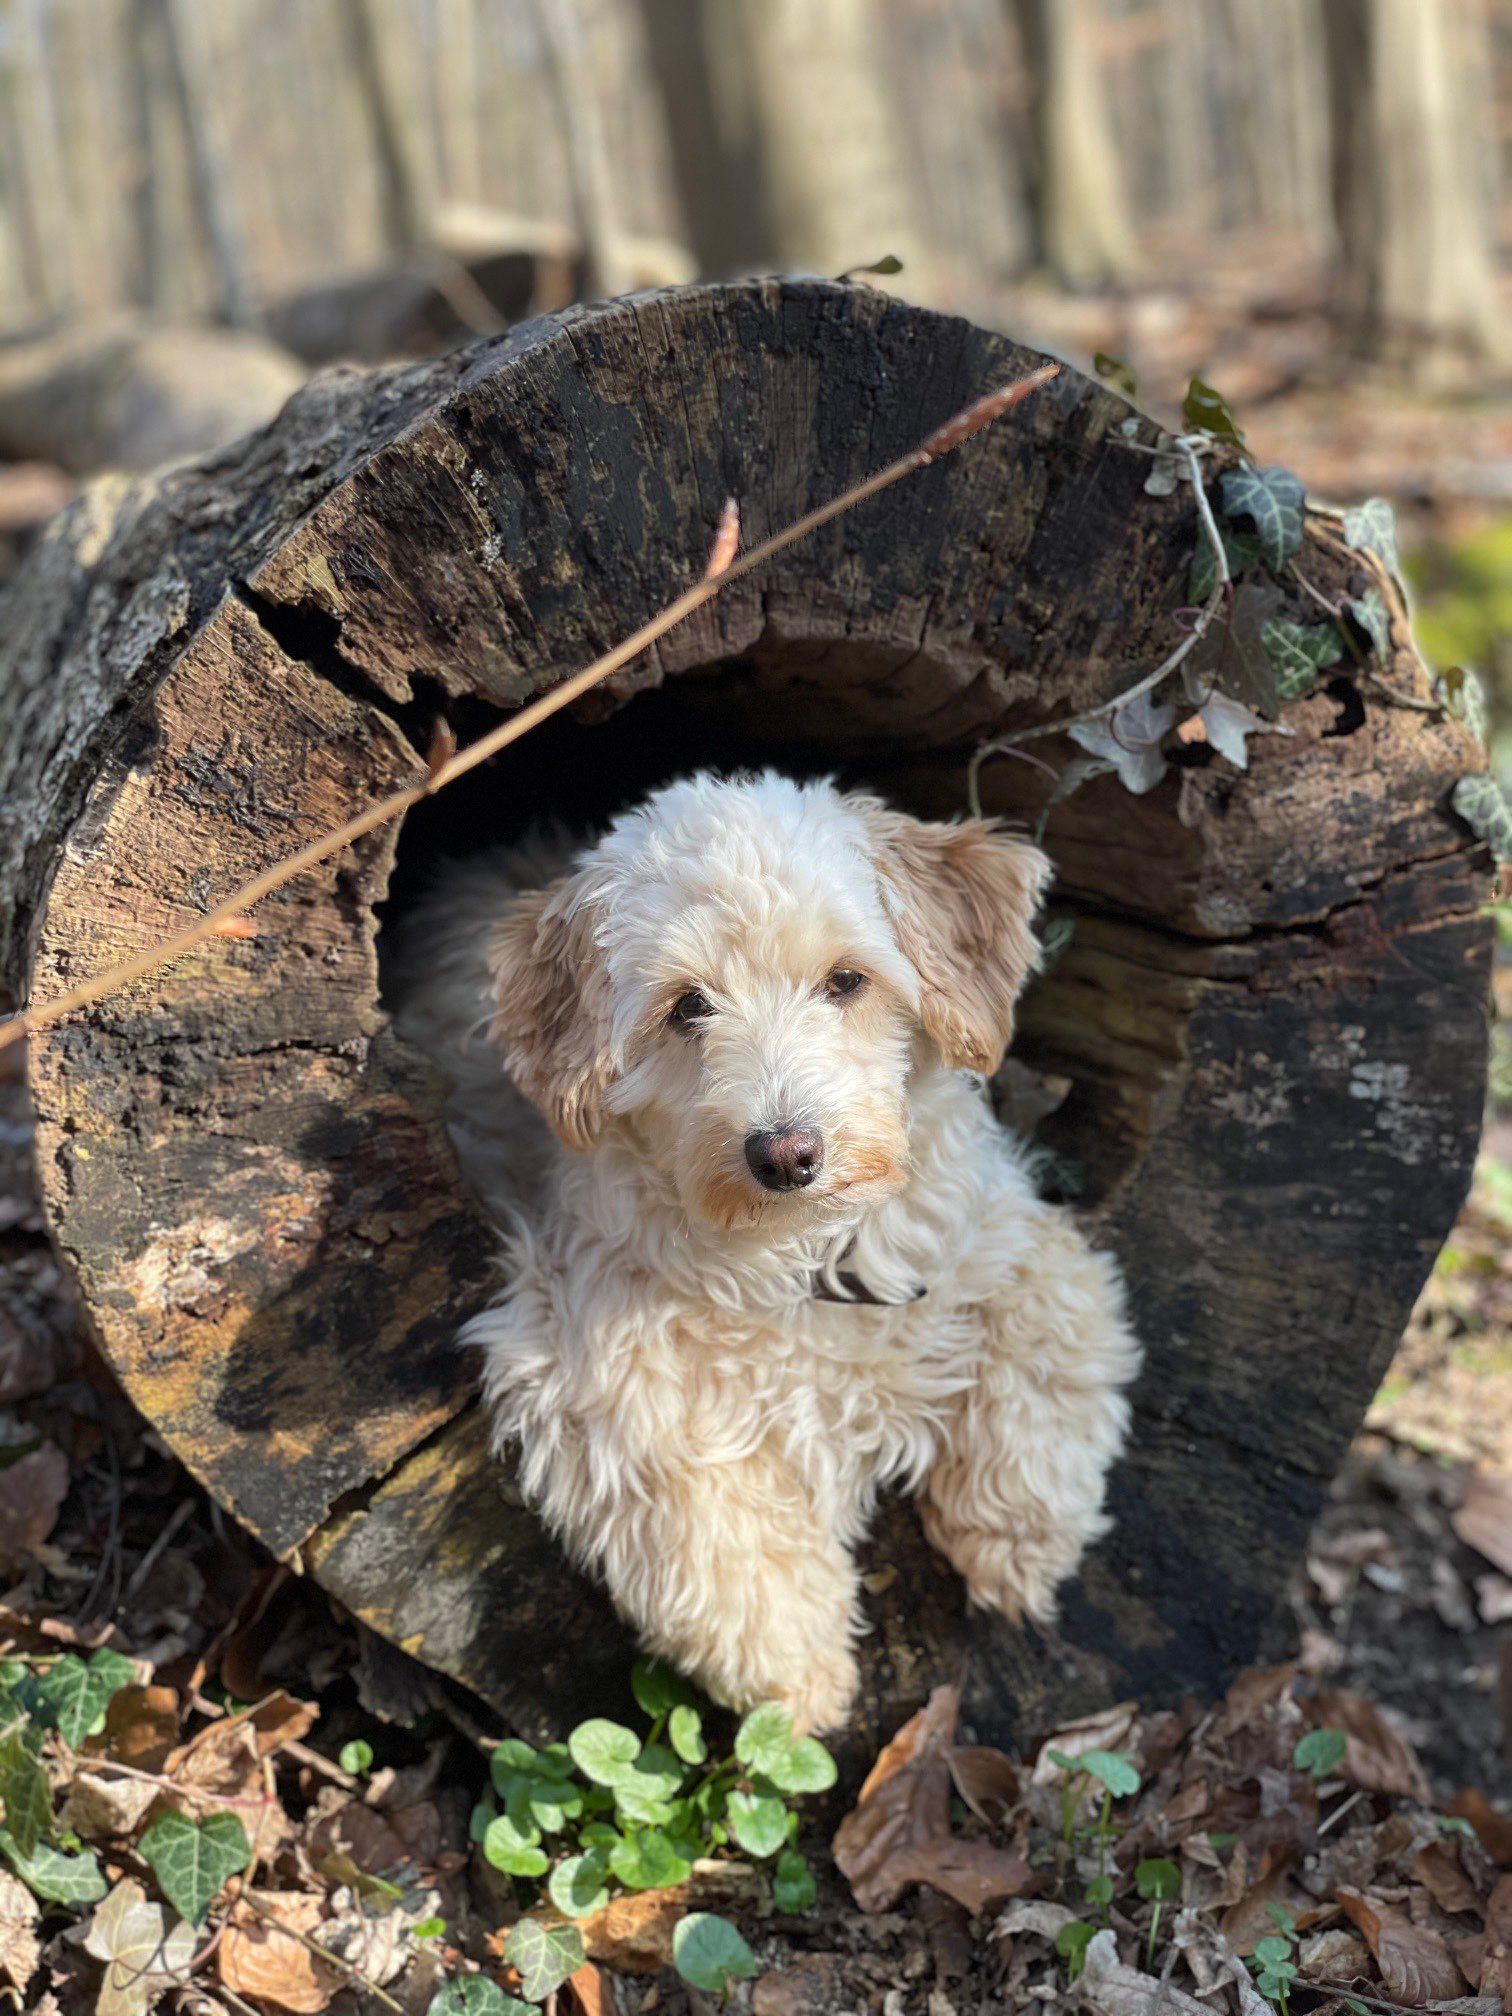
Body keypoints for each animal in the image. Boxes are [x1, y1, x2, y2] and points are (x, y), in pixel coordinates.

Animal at [397, 770, 1145, 1733]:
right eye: (688, 1005)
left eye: (846, 979)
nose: (786, 1153)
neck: (805, 1252)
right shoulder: (583, 1355)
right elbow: (707, 1502)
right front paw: (798, 1668)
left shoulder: (1009, 1235)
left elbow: (1043, 1341)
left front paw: (1022, 1540)